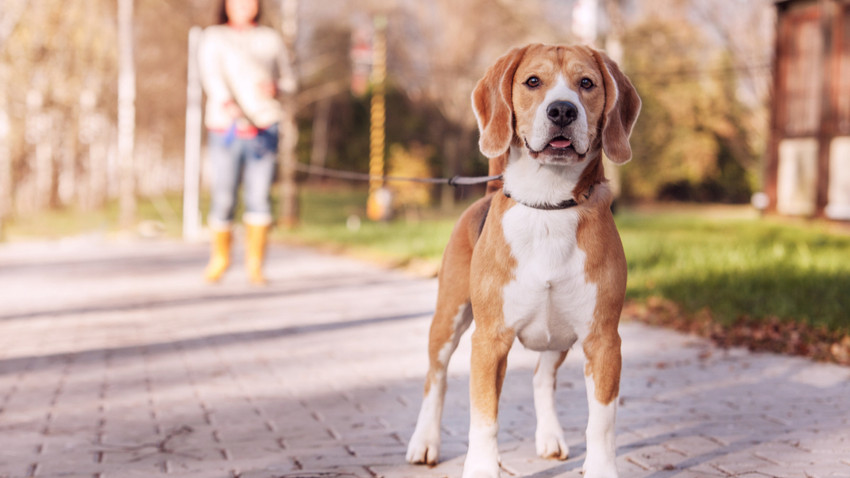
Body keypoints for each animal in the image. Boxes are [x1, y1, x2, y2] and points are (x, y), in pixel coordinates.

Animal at [404, 43, 636, 476]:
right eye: (532, 81)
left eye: (586, 83)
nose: (562, 110)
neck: (548, 205)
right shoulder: (489, 341)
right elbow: (484, 418)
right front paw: (481, 468)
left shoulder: (602, 340)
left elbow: (601, 422)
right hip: (448, 318)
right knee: (435, 379)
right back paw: (425, 441)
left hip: (559, 335)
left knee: (542, 379)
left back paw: (548, 436)